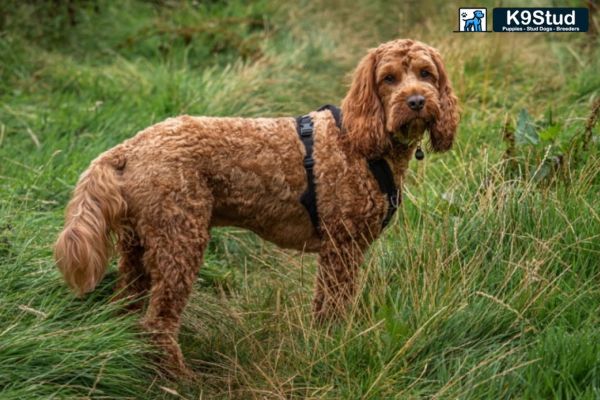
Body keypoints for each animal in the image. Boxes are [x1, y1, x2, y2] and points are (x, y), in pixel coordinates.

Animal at [56, 39, 460, 374]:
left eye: (426, 73)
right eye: (388, 78)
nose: (416, 101)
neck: (360, 144)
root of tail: (128, 148)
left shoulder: (338, 250)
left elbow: (324, 305)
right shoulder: (342, 247)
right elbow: (334, 306)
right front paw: (335, 344)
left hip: (137, 248)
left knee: (127, 307)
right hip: (179, 241)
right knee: (157, 323)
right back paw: (179, 379)